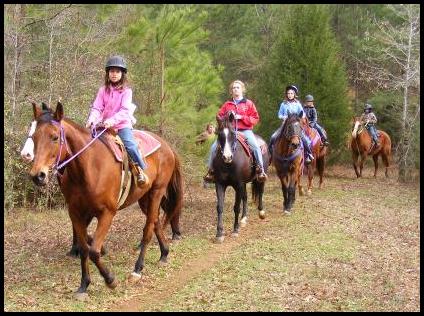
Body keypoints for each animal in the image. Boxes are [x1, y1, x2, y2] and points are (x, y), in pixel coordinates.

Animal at [27, 101, 183, 298]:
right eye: (34, 137)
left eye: (54, 137)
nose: (37, 175)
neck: (89, 168)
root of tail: (166, 146)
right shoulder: (76, 213)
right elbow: (85, 248)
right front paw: (84, 285)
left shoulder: (107, 213)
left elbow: (94, 251)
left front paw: (110, 280)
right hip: (144, 198)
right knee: (155, 222)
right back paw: (164, 253)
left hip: (157, 191)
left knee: (148, 229)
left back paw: (137, 269)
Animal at [211, 111, 268, 242]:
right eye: (219, 134)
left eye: (232, 133)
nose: (227, 157)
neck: (229, 164)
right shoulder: (220, 184)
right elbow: (220, 207)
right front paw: (219, 233)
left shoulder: (238, 185)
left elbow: (236, 207)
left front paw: (235, 230)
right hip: (244, 183)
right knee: (245, 197)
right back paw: (244, 219)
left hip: (259, 178)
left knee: (261, 191)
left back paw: (261, 212)